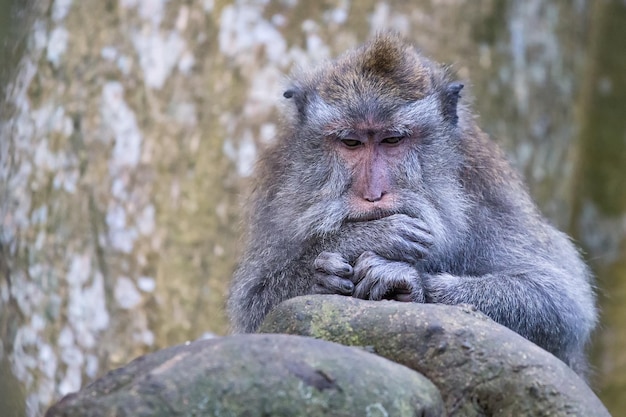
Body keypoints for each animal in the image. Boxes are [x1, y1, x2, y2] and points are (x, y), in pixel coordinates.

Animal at [227, 34, 596, 376]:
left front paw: (405, 278)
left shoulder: (488, 189)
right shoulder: (275, 190)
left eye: (393, 140)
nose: (373, 194)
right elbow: (253, 302)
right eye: (351, 142)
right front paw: (355, 246)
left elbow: (559, 298)